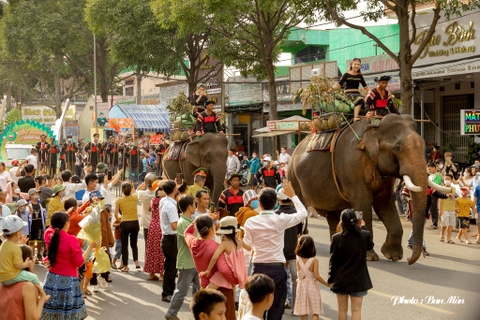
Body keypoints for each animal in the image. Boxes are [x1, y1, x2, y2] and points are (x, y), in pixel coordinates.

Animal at [288, 114, 450, 264]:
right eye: (397, 148)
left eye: (425, 148)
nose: (410, 260)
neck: (376, 127)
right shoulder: (351, 167)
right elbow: (363, 202)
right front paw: (370, 257)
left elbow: (384, 203)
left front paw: (394, 256)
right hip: (293, 178)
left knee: (333, 215)